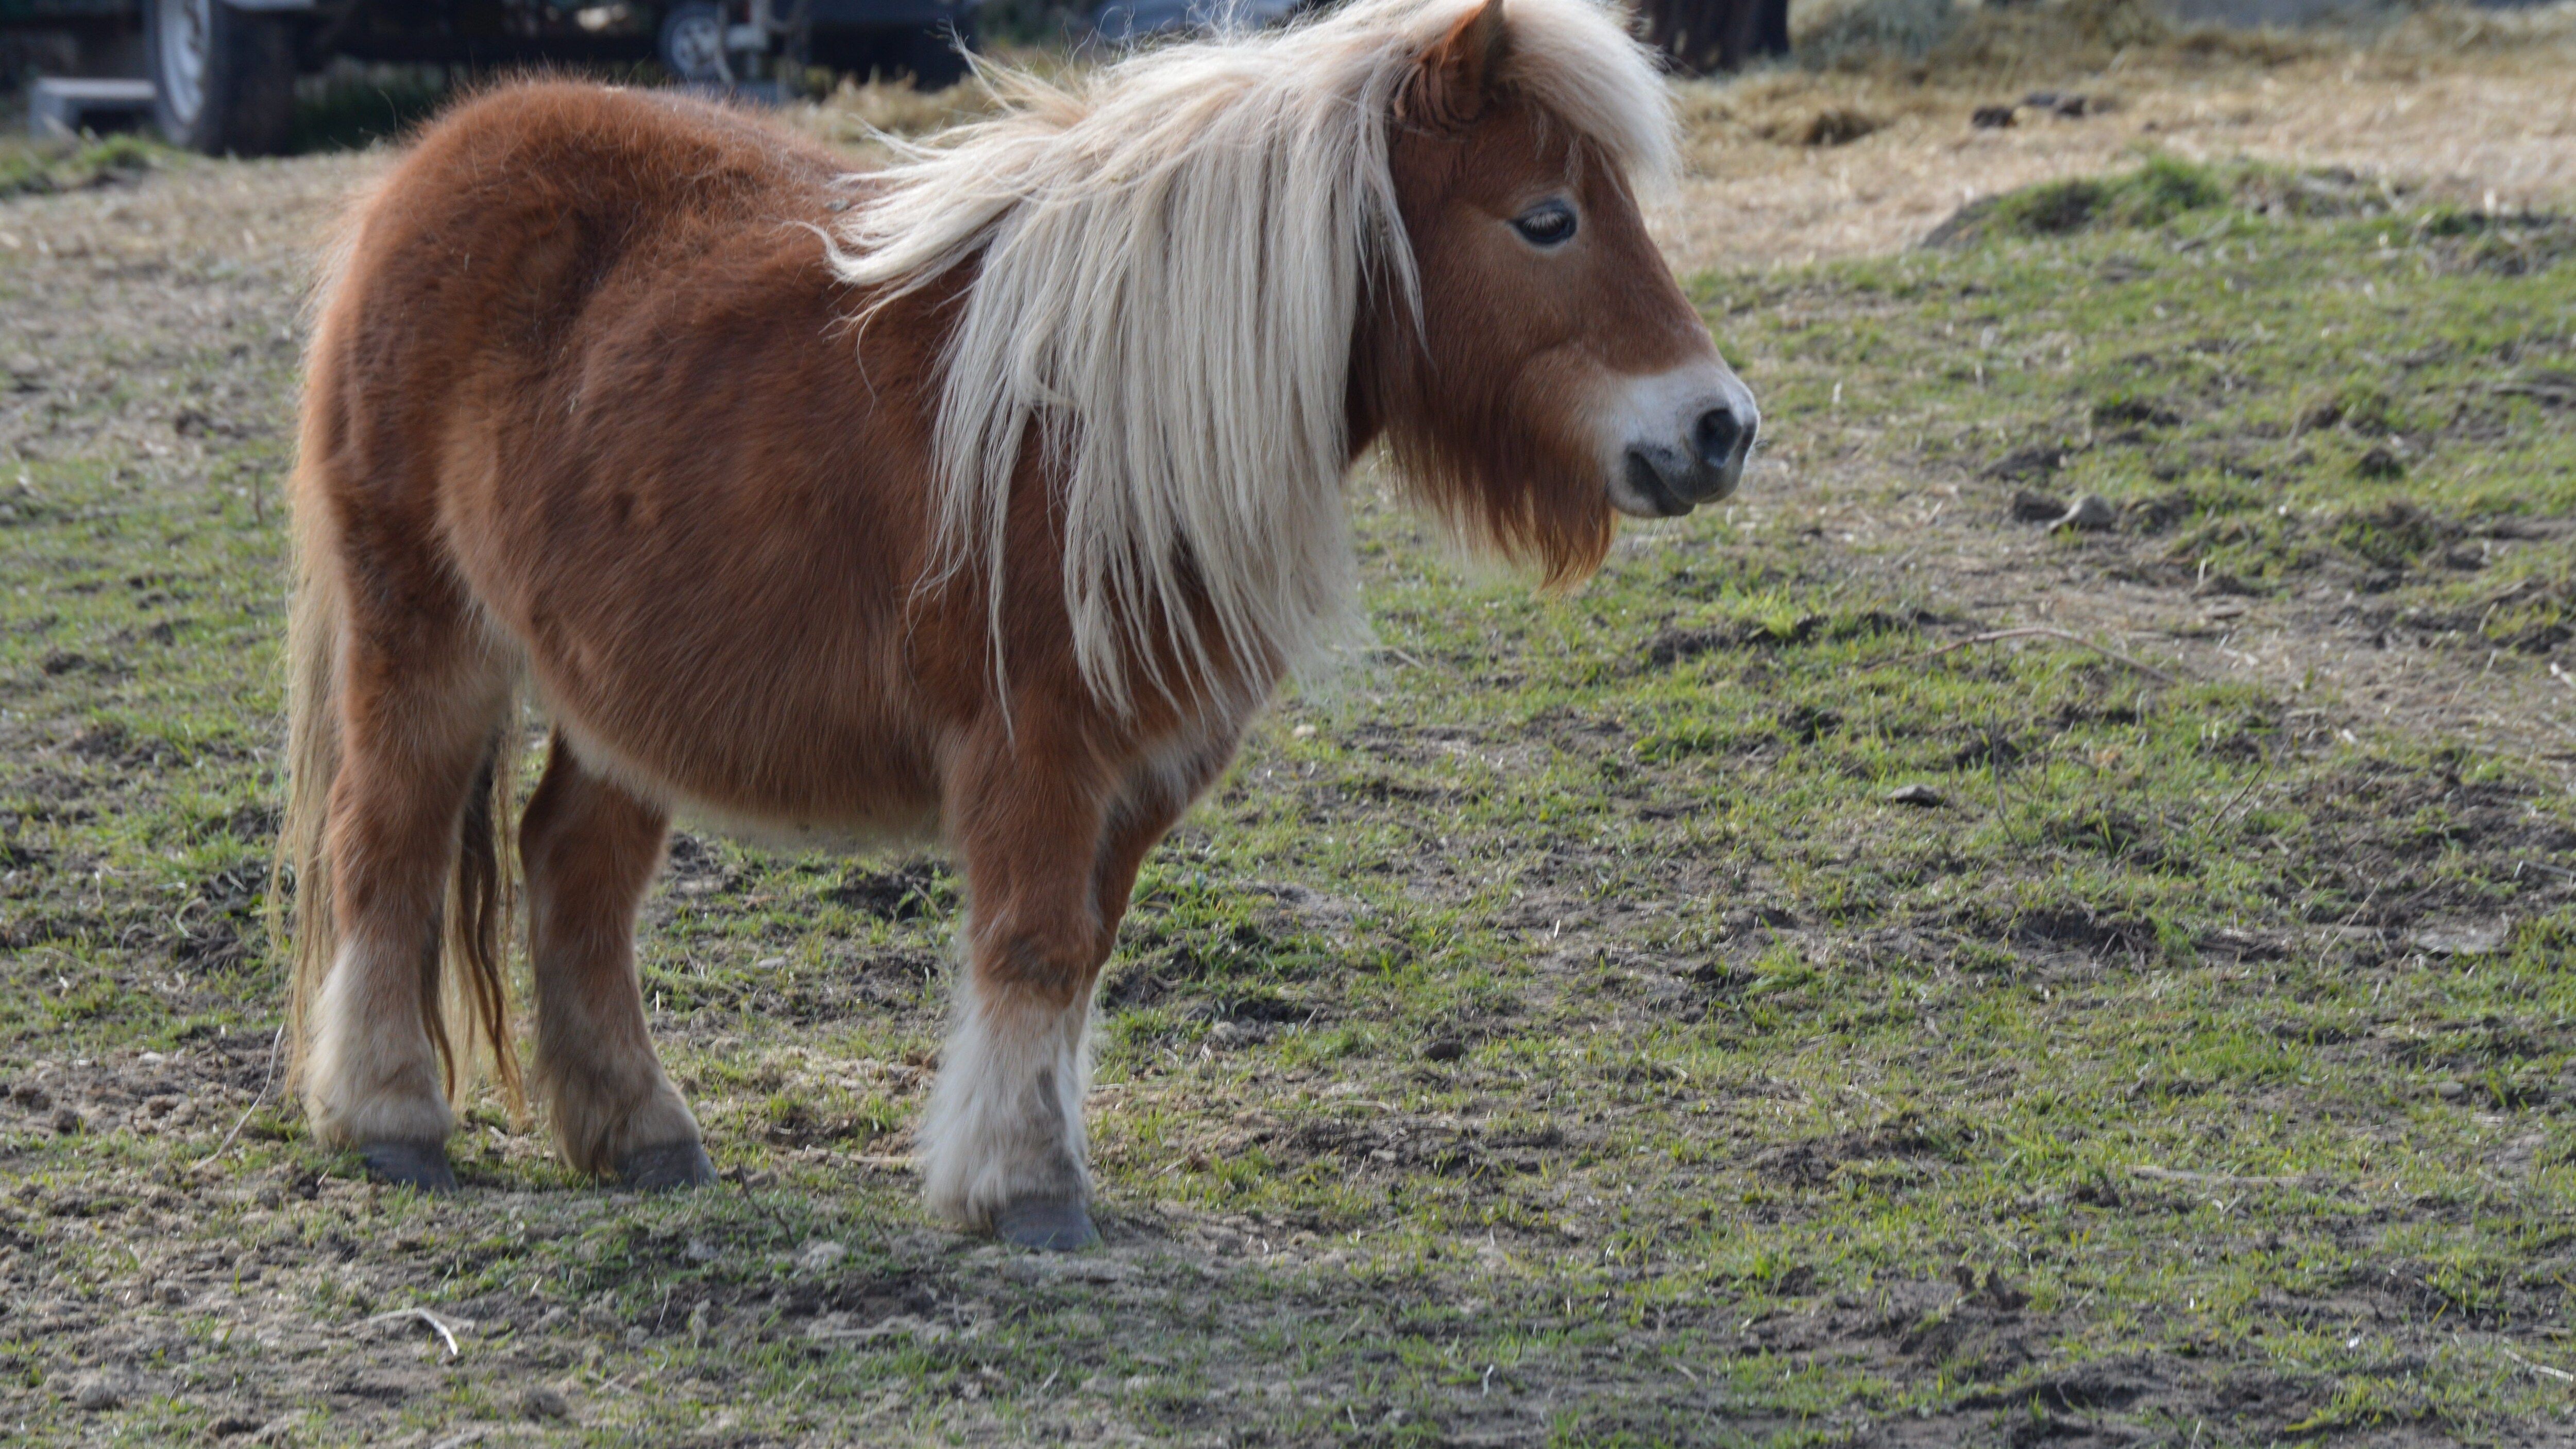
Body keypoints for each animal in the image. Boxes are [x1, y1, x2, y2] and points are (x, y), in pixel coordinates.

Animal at [278, 0, 1758, 1250]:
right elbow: (1033, 947)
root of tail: (427, 167)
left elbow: (1080, 955)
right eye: (1547, 220)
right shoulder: (1033, 749)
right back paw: (391, 1118)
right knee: (387, 846)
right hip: (425, 635)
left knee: (573, 869)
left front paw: (1025, 1166)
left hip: (623, 692)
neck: (1113, 413)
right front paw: (1027, 1191)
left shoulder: (1147, 767)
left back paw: (641, 1134)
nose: (1719, 428)